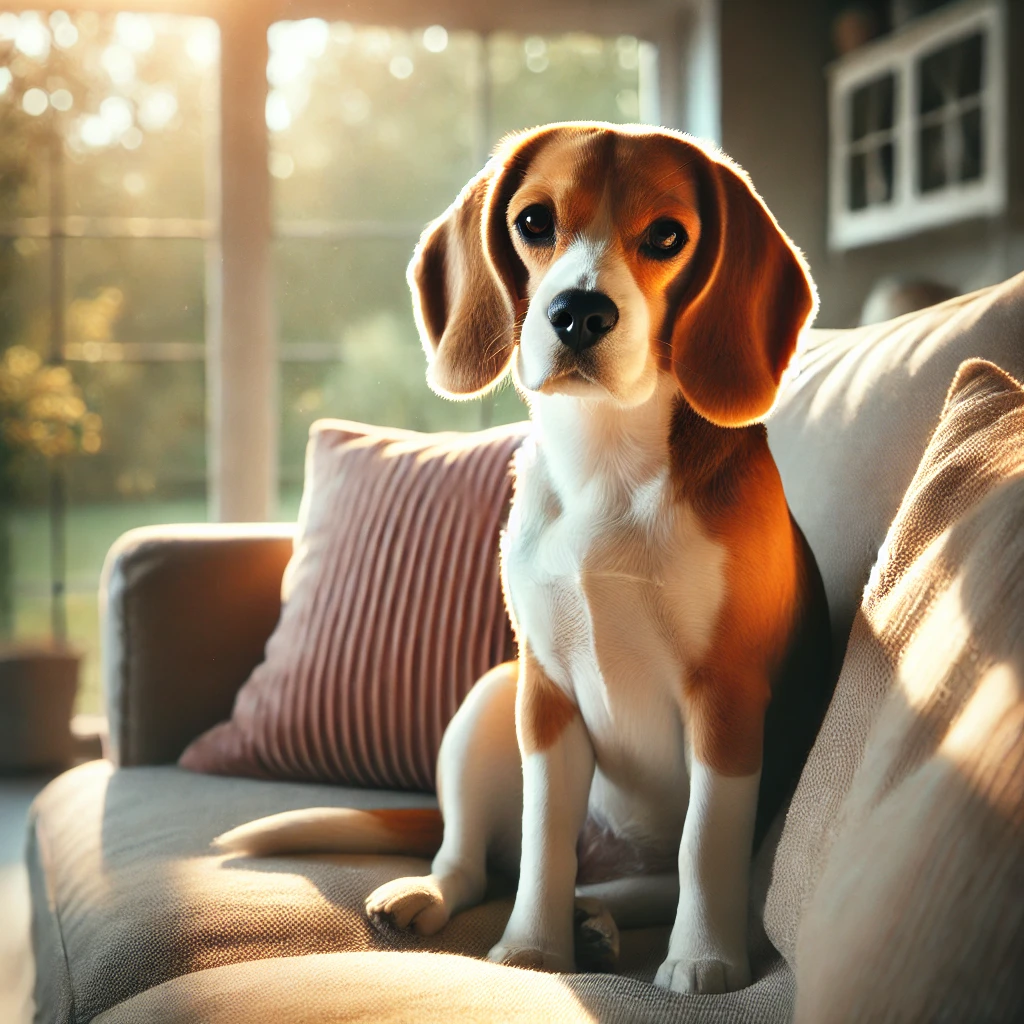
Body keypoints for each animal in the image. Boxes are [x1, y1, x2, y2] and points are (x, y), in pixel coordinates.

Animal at [216, 123, 831, 995]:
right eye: (535, 221)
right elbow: (543, 841)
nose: (579, 311)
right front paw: (534, 950)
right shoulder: (544, 690)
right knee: (476, 863)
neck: (605, 460)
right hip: (488, 697)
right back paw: (449, 895)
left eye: (667, 236)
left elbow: (704, 845)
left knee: (657, 878)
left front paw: (703, 959)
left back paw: (605, 921)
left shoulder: (728, 697)